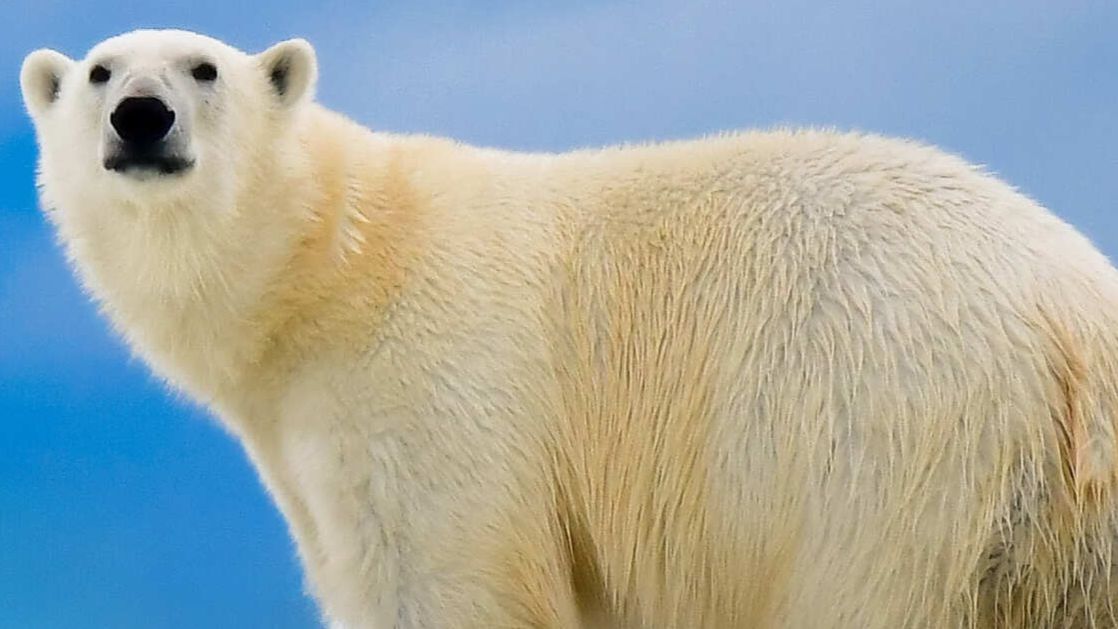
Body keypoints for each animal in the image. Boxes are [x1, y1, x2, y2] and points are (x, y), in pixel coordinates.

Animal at [19, 28, 1118, 628]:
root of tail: (1071, 316)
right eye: (100, 71)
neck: (334, 266)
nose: (142, 116)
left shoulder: (434, 402)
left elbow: (446, 580)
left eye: (203, 67)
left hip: (875, 450)